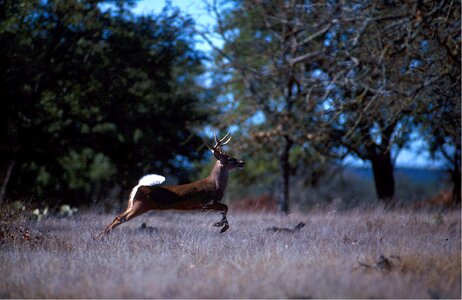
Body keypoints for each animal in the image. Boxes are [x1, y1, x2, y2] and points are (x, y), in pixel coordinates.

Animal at [94, 132, 245, 238]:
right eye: (230, 159)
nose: (242, 162)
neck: (215, 184)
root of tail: (138, 187)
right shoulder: (206, 203)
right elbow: (226, 207)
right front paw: (222, 226)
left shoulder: (209, 204)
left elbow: (224, 209)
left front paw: (220, 224)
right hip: (140, 205)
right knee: (121, 218)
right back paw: (101, 237)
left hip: (133, 205)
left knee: (117, 217)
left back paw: (98, 237)